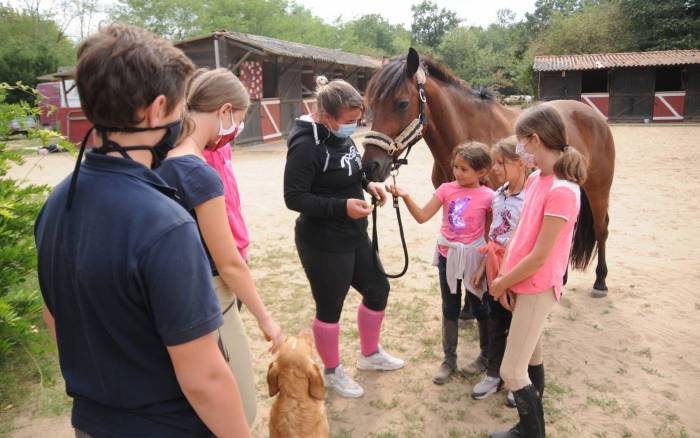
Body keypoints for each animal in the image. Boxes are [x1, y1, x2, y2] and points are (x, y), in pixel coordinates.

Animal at [364, 48, 616, 294]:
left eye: (402, 103)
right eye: (371, 104)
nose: (370, 166)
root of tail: (592, 114)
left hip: (598, 188)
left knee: (601, 228)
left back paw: (601, 280)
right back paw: (561, 278)